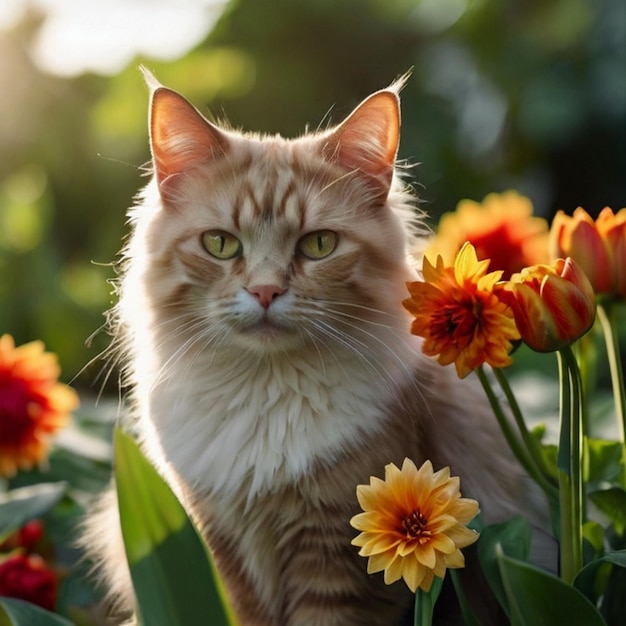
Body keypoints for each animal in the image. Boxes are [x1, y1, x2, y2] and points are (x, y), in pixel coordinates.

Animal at [84, 70, 552, 620]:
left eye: (319, 245)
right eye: (220, 244)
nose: (265, 291)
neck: (263, 395)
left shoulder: (339, 560)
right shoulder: (220, 553)